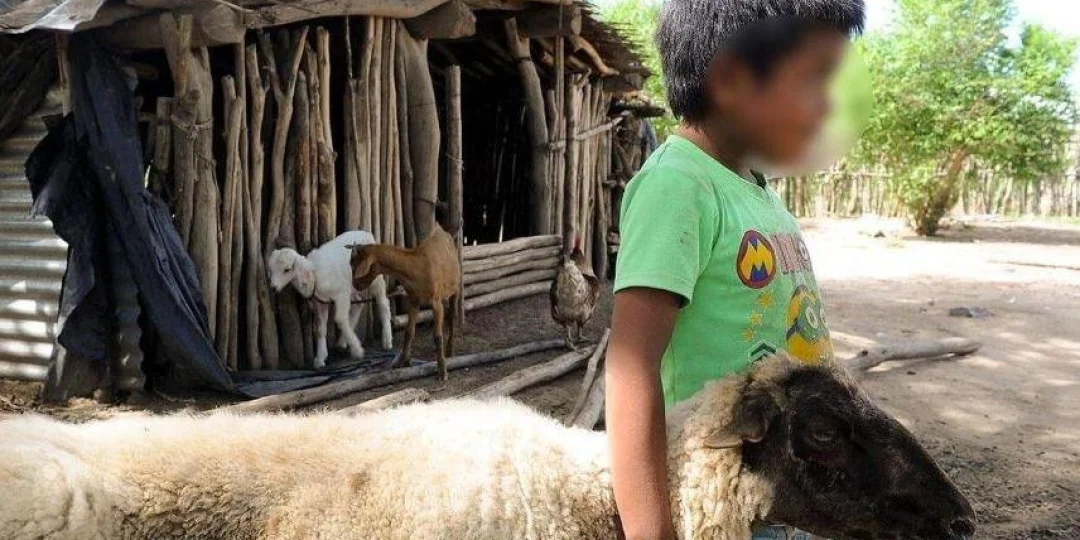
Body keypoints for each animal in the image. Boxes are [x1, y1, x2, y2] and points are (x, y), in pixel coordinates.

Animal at [268, 230, 393, 368]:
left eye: (287, 269)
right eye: (271, 269)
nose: (273, 287)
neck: (314, 274)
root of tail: (366, 233)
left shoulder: (341, 294)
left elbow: (340, 319)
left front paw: (357, 350)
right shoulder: (320, 301)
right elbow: (320, 328)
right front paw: (320, 358)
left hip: (373, 276)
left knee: (383, 303)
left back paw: (387, 340)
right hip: (353, 283)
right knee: (358, 304)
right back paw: (343, 342)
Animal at [350, 223, 460, 380]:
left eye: (355, 266)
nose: (355, 285)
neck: (415, 268)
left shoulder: (435, 301)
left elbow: (438, 337)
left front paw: (443, 372)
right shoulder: (414, 300)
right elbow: (409, 332)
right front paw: (402, 361)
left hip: (456, 287)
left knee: (451, 317)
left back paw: (450, 350)